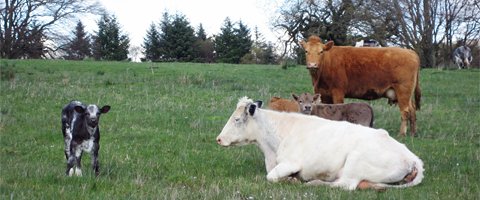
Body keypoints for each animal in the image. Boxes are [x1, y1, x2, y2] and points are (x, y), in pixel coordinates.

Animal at [218, 97, 424, 191]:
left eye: (237, 119)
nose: (219, 139)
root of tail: (413, 158)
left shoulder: (291, 163)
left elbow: (271, 177)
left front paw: (292, 179)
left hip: (355, 162)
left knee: (346, 185)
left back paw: (314, 182)